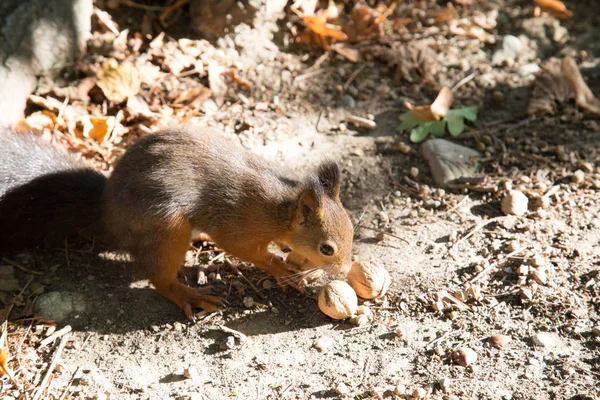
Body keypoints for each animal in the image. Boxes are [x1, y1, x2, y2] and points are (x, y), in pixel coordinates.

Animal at [0, 125, 354, 318]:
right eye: (326, 249)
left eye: (353, 231)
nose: (345, 270)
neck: (280, 210)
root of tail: (107, 219)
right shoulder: (239, 225)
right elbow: (248, 251)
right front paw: (281, 267)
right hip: (167, 227)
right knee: (158, 278)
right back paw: (188, 294)